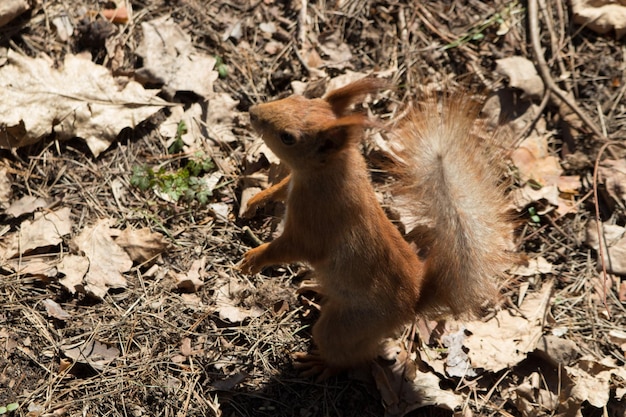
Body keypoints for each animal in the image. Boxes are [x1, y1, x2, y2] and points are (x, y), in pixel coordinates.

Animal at [239, 77, 512, 376]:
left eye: (288, 137)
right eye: (294, 98)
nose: (252, 112)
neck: (335, 170)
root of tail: (412, 304)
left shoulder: (318, 222)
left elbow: (293, 247)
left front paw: (254, 258)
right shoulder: (294, 184)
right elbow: (280, 187)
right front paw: (256, 200)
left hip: (348, 325)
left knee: (349, 355)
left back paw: (321, 363)